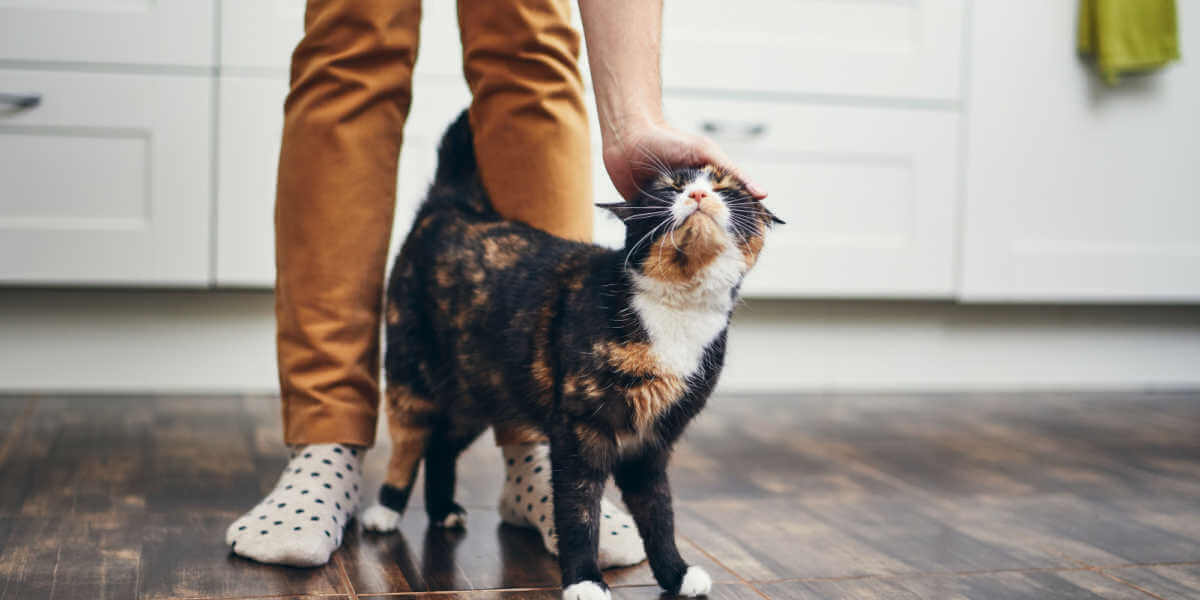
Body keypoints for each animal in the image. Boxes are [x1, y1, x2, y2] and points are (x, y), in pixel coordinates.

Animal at [376, 111, 787, 595]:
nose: (699, 193)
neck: (677, 308)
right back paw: (384, 510)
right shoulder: (580, 429)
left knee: (441, 444)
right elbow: (578, 510)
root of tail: (452, 207)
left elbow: (659, 513)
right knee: (409, 441)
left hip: (478, 393)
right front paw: (585, 580)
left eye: (726, 188)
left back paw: (442, 510)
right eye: (669, 187)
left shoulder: (653, 443)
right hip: (411, 373)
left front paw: (676, 573)